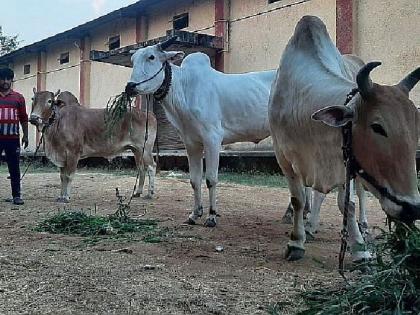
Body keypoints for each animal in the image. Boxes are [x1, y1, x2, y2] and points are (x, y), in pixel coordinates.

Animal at [29, 89, 157, 202]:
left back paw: (150, 194)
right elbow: (62, 177)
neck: (58, 122)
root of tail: (148, 114)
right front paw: (61, 196)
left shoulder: (73, 153)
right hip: (137, 150)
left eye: (49, 101)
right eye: (33, 99)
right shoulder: (62, 156)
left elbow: (69, 175)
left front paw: (66, 197)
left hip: (145, 149)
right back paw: (138, 192)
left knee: (151, 167)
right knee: (141, 168)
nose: (33, 118)